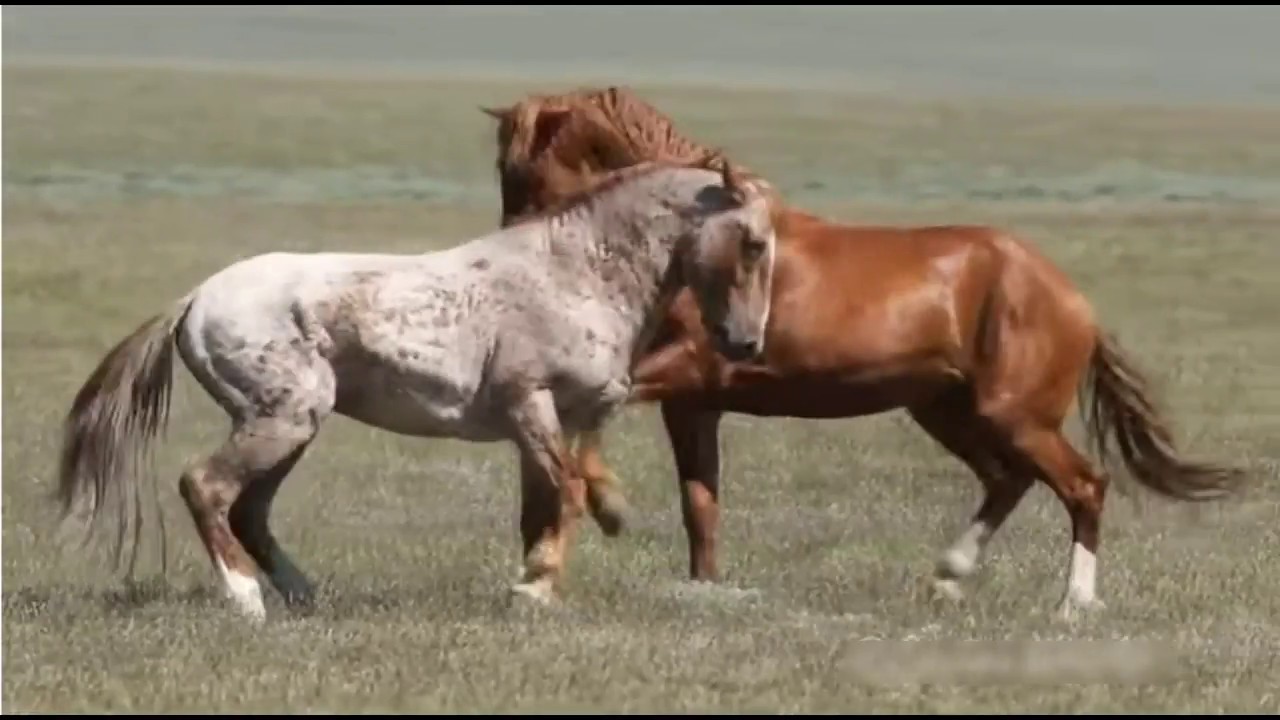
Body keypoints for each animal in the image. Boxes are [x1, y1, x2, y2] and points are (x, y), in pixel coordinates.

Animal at [54, 156, 785, 621]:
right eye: (752, 242)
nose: (747, 344)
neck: (575, 274)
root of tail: (196, 300)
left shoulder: (574, 416)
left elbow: (561, 497)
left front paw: (564, 559)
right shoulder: (530, 403)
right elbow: (566, 494)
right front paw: (535, 590)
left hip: (292, 425)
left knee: (248, 511)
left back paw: (303, 594)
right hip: (283, 419)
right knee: (205, 487)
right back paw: (245, 599)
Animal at [480, 85, 1247, 619]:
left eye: (531, 170)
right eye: (501, 169)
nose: (509, 255)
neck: (697, 244)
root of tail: (1071, 298)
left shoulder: (682, 372)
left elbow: (596, 449)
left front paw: (599, 518)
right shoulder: (694, 403)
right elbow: (701, 507)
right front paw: (701, 587)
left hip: (1013, 415)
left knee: (1083, 485)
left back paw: (1073, 603)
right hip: (948, 411)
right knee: (1007, 481)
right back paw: (949, 574)